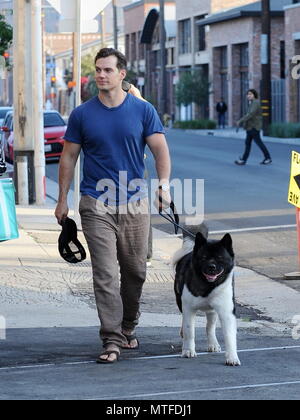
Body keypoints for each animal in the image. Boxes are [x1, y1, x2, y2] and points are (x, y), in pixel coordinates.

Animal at [172, 225, 240, 366]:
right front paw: (188, 350)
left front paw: (232, 357)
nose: (211, 266)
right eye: (203, 257)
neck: (208, 285)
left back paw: (213, 343)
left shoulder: (227, 312)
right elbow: (189, 330)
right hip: (180, 301)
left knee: (210, 326)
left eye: (220, 257)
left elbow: (229, 335)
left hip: (212, 311)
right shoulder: (188, 308)